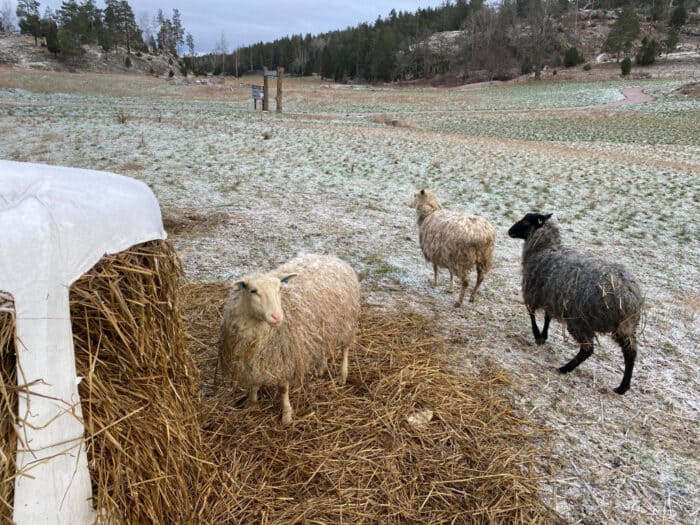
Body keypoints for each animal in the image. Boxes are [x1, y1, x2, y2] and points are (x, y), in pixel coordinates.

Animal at [218, 254, 360, 425]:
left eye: (280, 289)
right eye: (253, 291)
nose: (277, 317)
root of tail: (331, 257)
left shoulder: (286, 355)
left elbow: (283, 388)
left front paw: (286, 414)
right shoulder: (252, 357)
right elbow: (254, 380)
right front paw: (252, 403)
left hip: (347, 322)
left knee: (346, 348)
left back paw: (342, 376)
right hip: (324, 327)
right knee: (324, 347)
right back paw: (321, 368)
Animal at [508, 213, 643, 395]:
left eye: (526, 221)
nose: (510, 231)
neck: (543, 249)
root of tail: (631, 298)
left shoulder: (534, 293)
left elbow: (532, 315)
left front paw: (537, 336)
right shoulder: (552, 297)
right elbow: (548, 318)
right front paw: (544, 335)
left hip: (580, 321)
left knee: (588, 349)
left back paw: (564, 368)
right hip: (625, 328)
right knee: (631, 352)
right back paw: (622, 387)